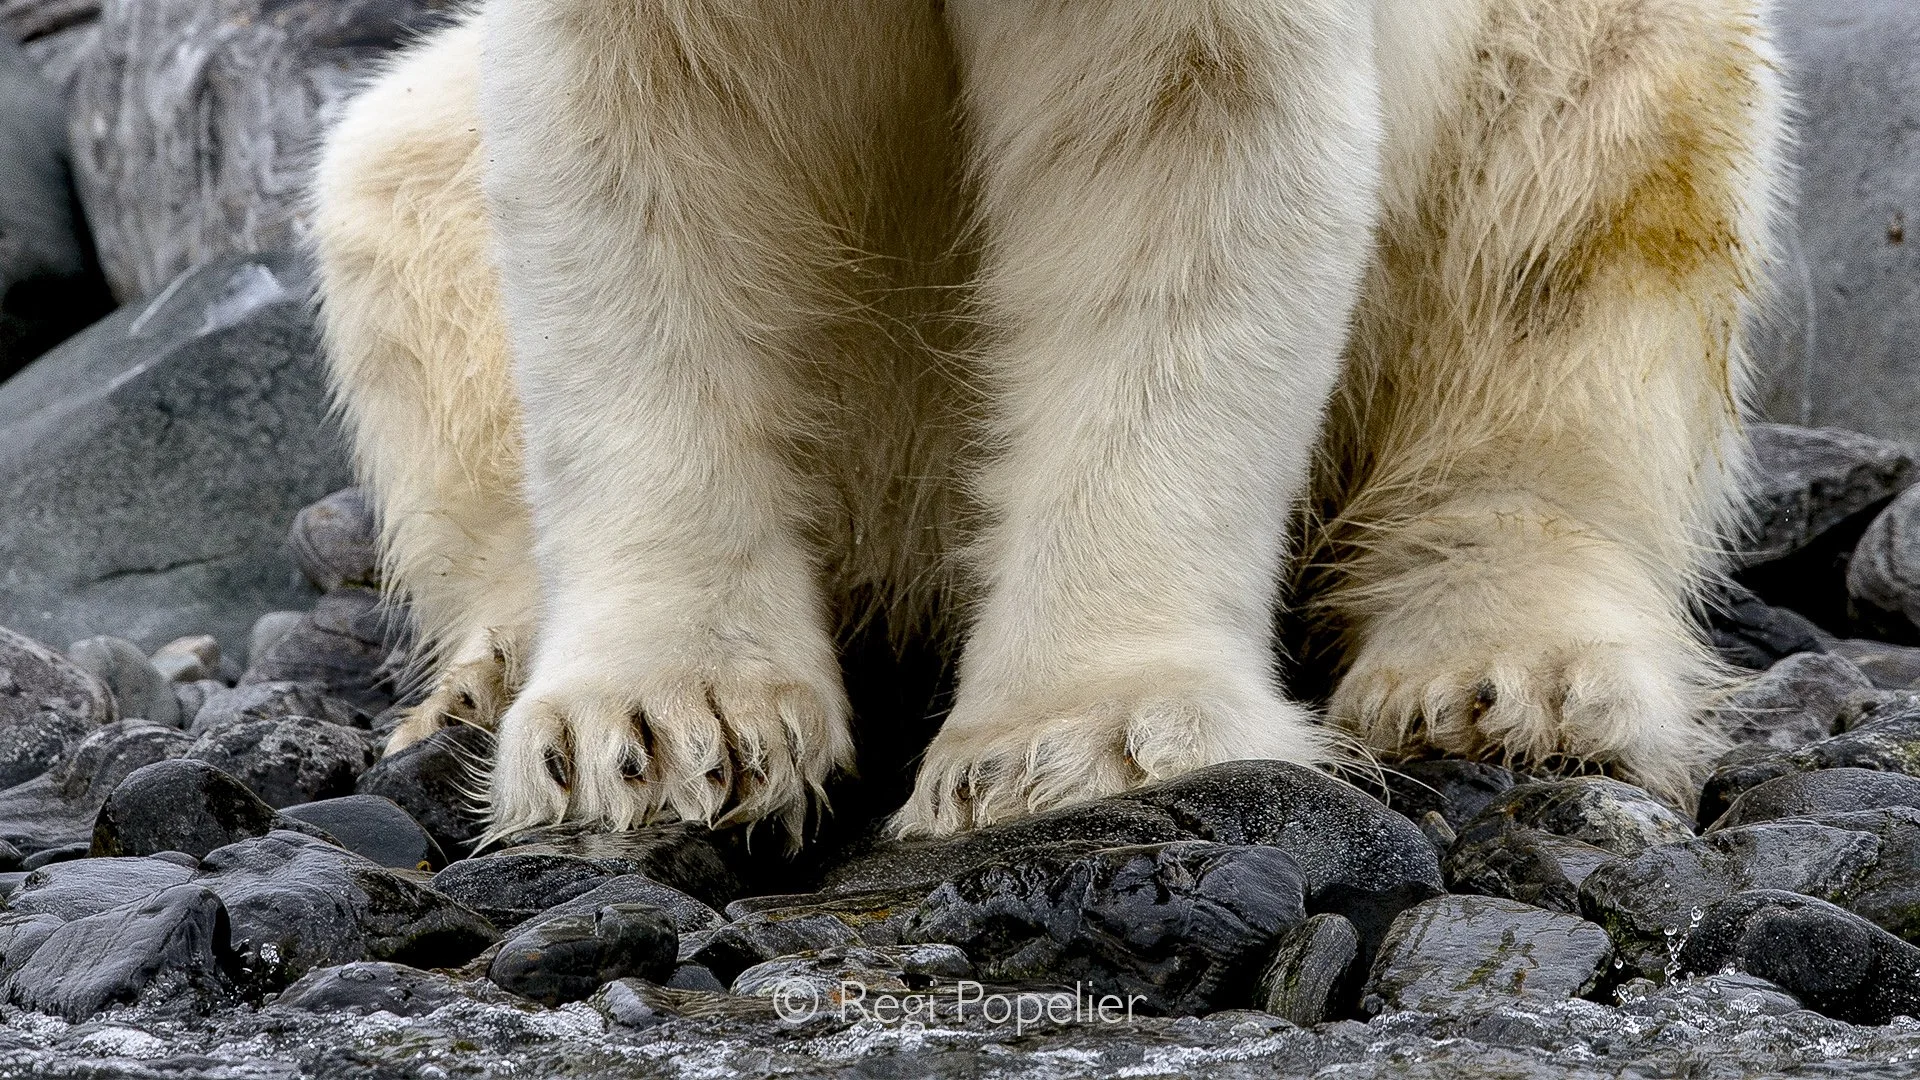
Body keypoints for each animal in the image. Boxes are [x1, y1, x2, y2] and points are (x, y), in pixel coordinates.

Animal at [310, 0, 1785, 844]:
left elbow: (1183, 137)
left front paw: (1082, 744)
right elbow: (640, 147)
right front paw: (666, 730)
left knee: (1572, 225)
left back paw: (1502, 680)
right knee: (395, 182)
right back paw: (487, 667)